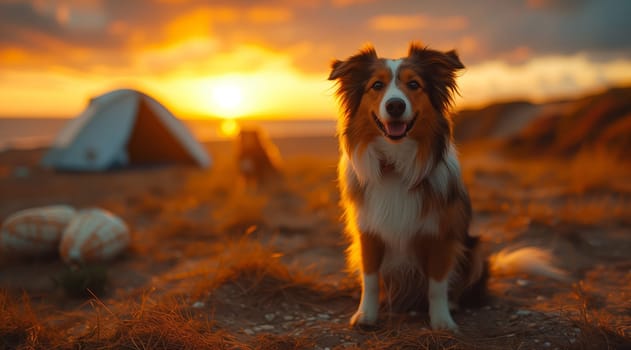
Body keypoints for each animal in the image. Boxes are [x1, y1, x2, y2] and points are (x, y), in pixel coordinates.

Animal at [328, 42, 564, 330]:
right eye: (376, 85)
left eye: (414, 84)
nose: (395, 105)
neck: (397, 163)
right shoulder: (369, 231)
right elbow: (370, 279)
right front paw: (366, 316)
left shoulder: (442, 233)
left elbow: (437, 285)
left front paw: (442, 321)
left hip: (475, 249)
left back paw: (454, 304)